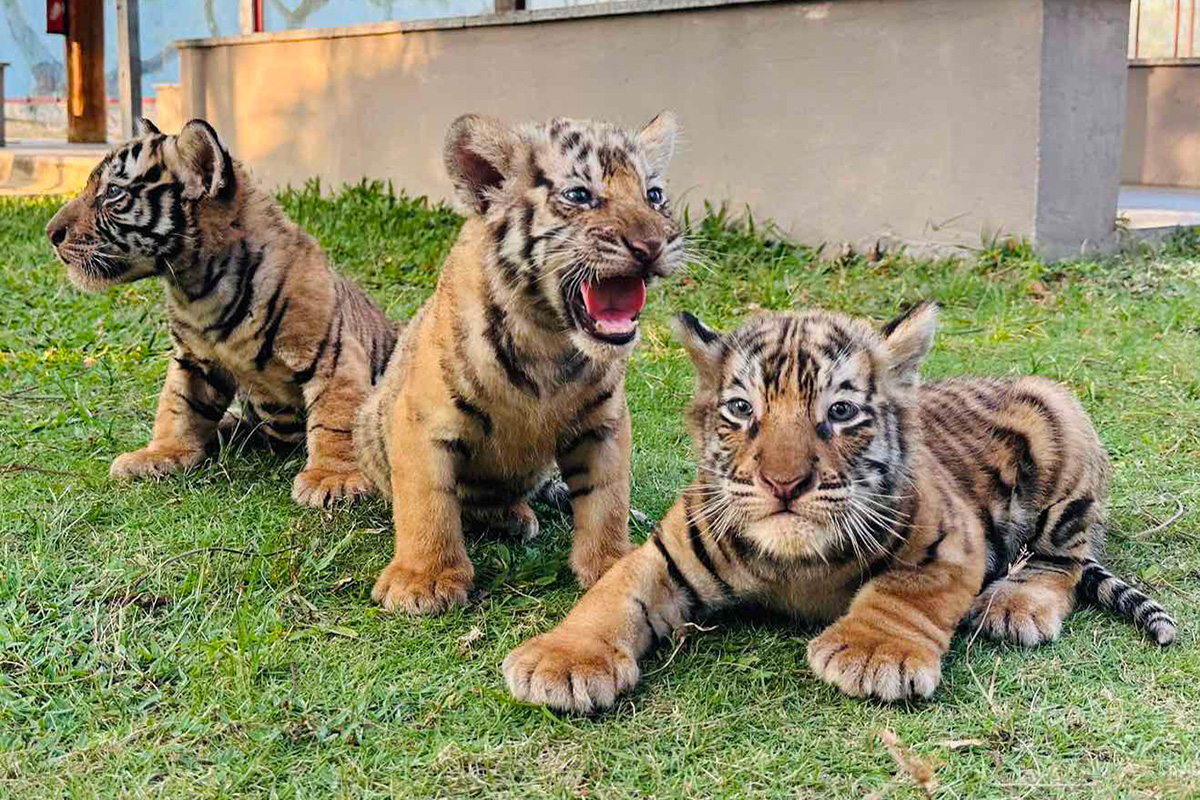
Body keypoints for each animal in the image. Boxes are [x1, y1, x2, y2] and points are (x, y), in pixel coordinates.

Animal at [45, 118, 399, 508]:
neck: (197, 287)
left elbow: (336, 418)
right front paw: (161, 454)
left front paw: (333, 478)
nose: (51, 233)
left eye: (112, 193)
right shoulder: (193, 359)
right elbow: (177, 407)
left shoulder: (331, 355)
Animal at [353, 111, 684, 615]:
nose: (653, 245)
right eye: (579, 195)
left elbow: (607, 498)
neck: (549, 337)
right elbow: (427, 501)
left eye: (654, 195)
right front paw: (424, 581)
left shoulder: (604, 422)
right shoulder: (422, 419)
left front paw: (611, 564)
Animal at [502, 302, 1177, 711]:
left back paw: (1016, 604)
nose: (783, 483)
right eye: (742, 409)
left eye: (841, 411)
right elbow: (611, 595)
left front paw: (873, 653)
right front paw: (560, 660)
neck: (792, 564)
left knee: (1063, 557)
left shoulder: (952, 539)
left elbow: (907, 592)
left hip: (1061, 424)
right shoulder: (665, 552)